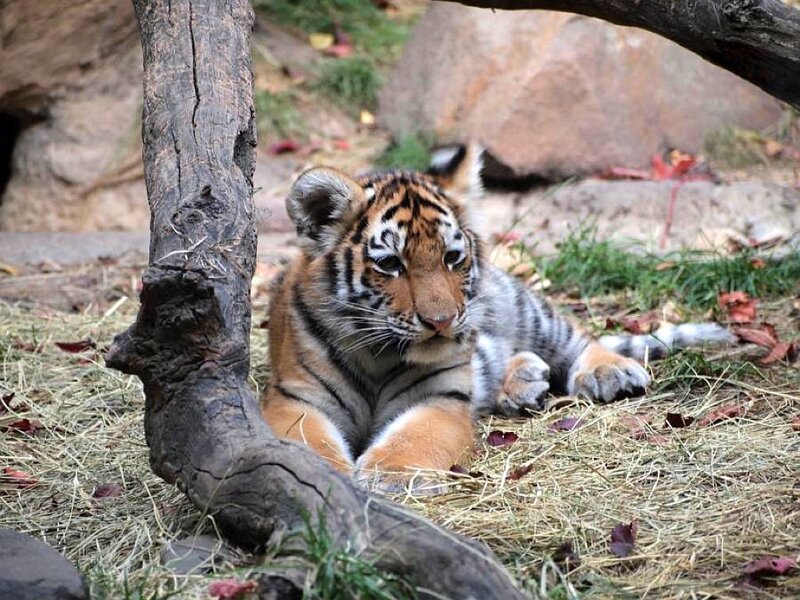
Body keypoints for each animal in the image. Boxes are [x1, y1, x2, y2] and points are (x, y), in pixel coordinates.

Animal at [260, 145, 733, 490]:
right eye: (391, 264)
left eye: (451, 258)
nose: (441, 321)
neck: (381, 355)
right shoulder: (295, 398)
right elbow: (307, 440)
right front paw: (320, 473)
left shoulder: (439, 398)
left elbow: (413, 437)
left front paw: (388, 476)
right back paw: (522, 381)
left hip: (521, 305)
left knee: (575, 337)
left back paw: (607, 372)